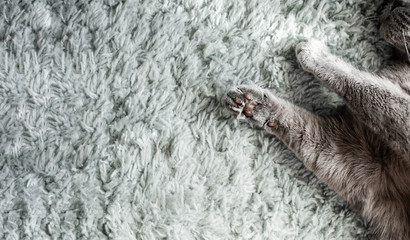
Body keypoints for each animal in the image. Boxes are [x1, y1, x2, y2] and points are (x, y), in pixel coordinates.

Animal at [226, 0, 410, 239]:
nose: (393, 4)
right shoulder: (367, 164)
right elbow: (301, 124)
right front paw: (254, 105)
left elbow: (369, 89)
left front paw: (316, 54)